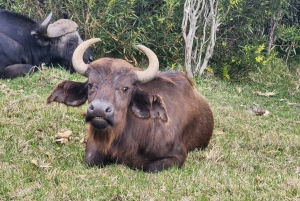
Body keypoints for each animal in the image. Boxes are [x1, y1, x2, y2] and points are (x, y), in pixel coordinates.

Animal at [47, 38, 213, 172]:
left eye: (125, 88)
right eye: (90, 84)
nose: (99, 110)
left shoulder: (176, 156)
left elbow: (148, 167)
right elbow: (91, 159)